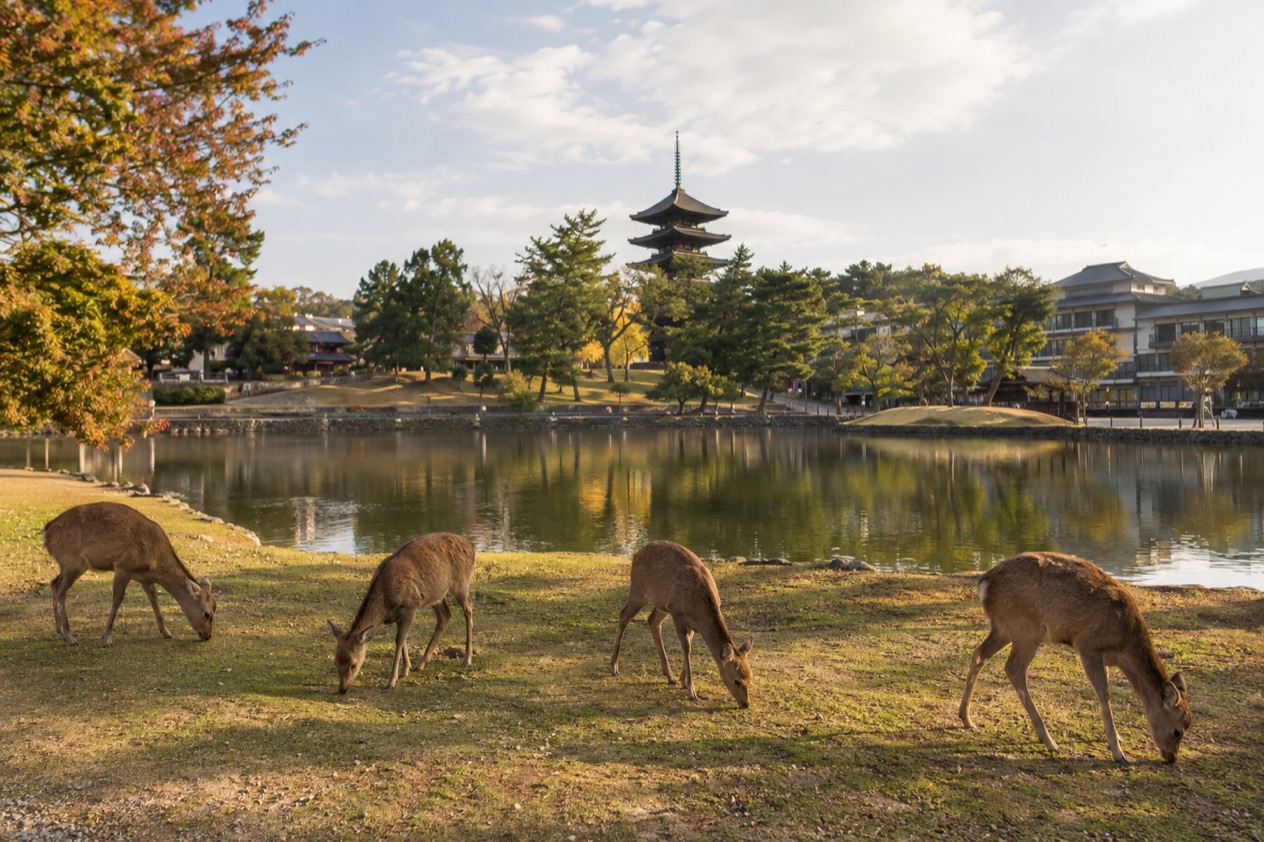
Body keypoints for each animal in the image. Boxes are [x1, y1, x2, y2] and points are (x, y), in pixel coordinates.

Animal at [43, 502, 217, 647]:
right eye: (207, 614)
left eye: (215, 609)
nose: (207, 635)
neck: (156, 562)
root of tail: (46, 532)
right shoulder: (123, 567)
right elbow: (117, 599)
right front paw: (106, 640)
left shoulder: (145, 578)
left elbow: (154, 599)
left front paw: (167, 633)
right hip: (72, 561)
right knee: (61, 591)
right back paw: (70, 638)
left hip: (67, 564)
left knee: (53, 583)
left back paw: (59, 630)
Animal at [327, 532, 475, 694]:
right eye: (335, 663)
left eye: (353, 664)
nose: (342, 689)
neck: (385, 604)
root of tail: (471, 546)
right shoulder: (399, 614)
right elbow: (402, 639)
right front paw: (406, 670)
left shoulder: (410, 606)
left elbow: (399, 640)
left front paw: (391, 681)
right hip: (436, 594)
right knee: (445, 614)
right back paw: (421, 663)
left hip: (461, 581)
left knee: (468, 607)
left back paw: (467, 660)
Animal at [610, 540, 753, 708]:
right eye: (737, 681)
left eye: (750, 678)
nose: (746, 703)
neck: (698, 607)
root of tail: (635, 554)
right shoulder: (678, 612)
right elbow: (686, 647)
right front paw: (691, 691)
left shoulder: (691, 623)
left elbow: (689, 645)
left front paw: (682, 680)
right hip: (638, 590)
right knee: (623, 615)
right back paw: (614, 667)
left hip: (662, 603)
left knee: (652, 620)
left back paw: (670, 676)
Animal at [959, 551, 1192, 763]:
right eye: (1177, 731)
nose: (1171, 758)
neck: (1123, 643)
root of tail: (985, 583)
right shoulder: (1088, 647)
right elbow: (1104, 694)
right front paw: (1118, 753)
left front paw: (1118, 739)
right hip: (1026, 628)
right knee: (1014, 669)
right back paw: (1050, 742)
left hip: (1003, 628)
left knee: (979, 654)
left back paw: (967, 719)